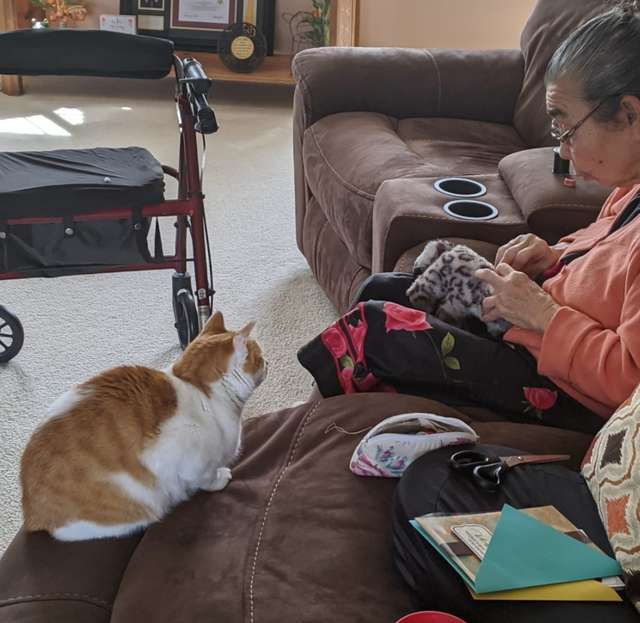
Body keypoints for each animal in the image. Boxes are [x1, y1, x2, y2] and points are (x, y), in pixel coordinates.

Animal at [20, 312, 264, 540]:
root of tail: (30, 514)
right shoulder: (185, 459)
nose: (268, 362)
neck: (197, 388)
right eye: (261, 356)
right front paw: (221, 478)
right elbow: (206, 478)